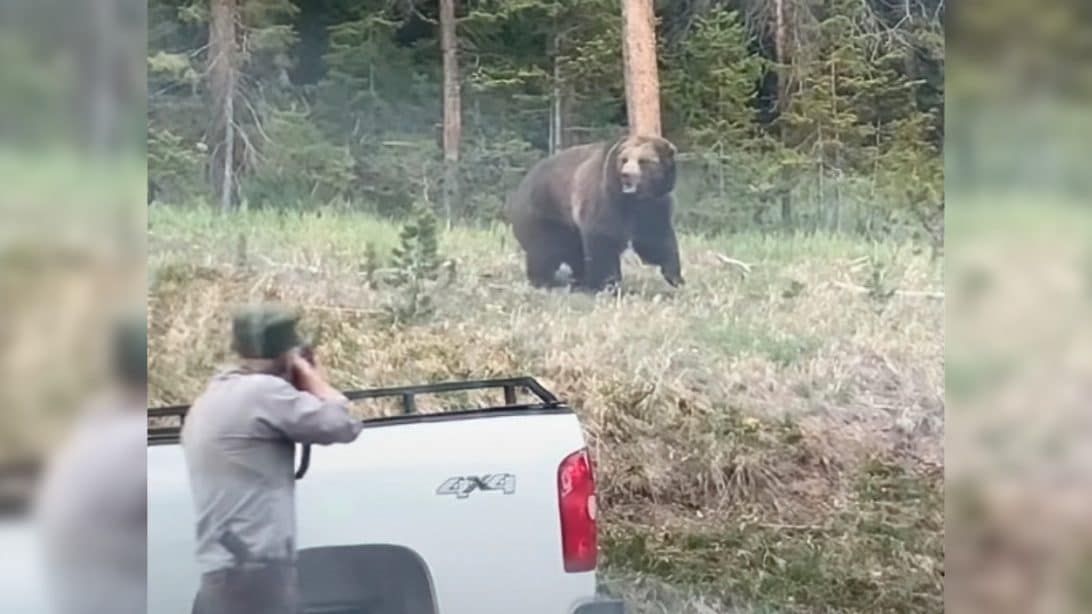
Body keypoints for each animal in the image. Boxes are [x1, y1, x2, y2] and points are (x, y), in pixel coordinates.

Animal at [504, 134, 681, 290]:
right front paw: (608, 282)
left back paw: (579, 279)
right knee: (544, 248)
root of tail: (522, 184)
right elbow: (602, 237)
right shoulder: (604, 197)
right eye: (624, 159)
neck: (632, 199)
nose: (626, 175)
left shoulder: (653, 204)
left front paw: (675, 276)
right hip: (546, 211)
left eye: (643, 161)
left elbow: (656, 237)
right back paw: (545, 280)